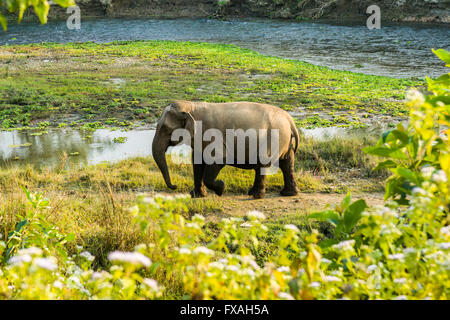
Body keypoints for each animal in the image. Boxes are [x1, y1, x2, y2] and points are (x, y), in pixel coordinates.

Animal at [152, 101, 298, 199]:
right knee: (286, 162)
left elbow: (219, 159)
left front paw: (221, 188)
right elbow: (197, 162)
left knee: (264, 164)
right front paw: (197, 195)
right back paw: (287, 193)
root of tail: (289, 120)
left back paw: (256, 196)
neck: (191, 106)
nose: (175, 186)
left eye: (166, 129)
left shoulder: (211, 135)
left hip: (273, 139)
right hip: (284, 140)